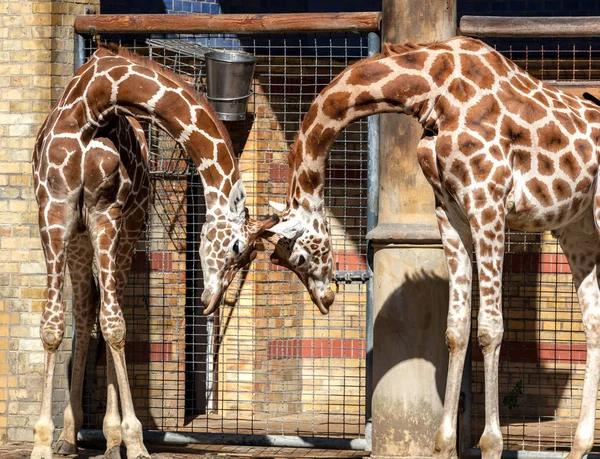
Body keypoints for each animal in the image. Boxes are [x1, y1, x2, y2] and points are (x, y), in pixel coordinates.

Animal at [32, 45, 276, 459]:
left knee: (105, 309)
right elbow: (53, 326)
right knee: (86, 309)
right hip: (81, 235)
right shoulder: (54, 212)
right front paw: (41, 444)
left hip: (127, 226)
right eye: (237, 248)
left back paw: (111, 439)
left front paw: (133, 440)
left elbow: (115, 325)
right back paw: (68, 436)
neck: (95, 101)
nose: (210, 302)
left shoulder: (106, 214)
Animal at [268, 36, 600, 459]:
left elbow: (489, 328)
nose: (325, 300)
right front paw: (444, 444)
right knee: (594, 323)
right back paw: (579, 446)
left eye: (299, 256)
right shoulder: (449, 211)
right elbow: (455, 330)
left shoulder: (488, 204)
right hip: (579, 231)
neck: (433, 89)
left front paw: (490, 444)